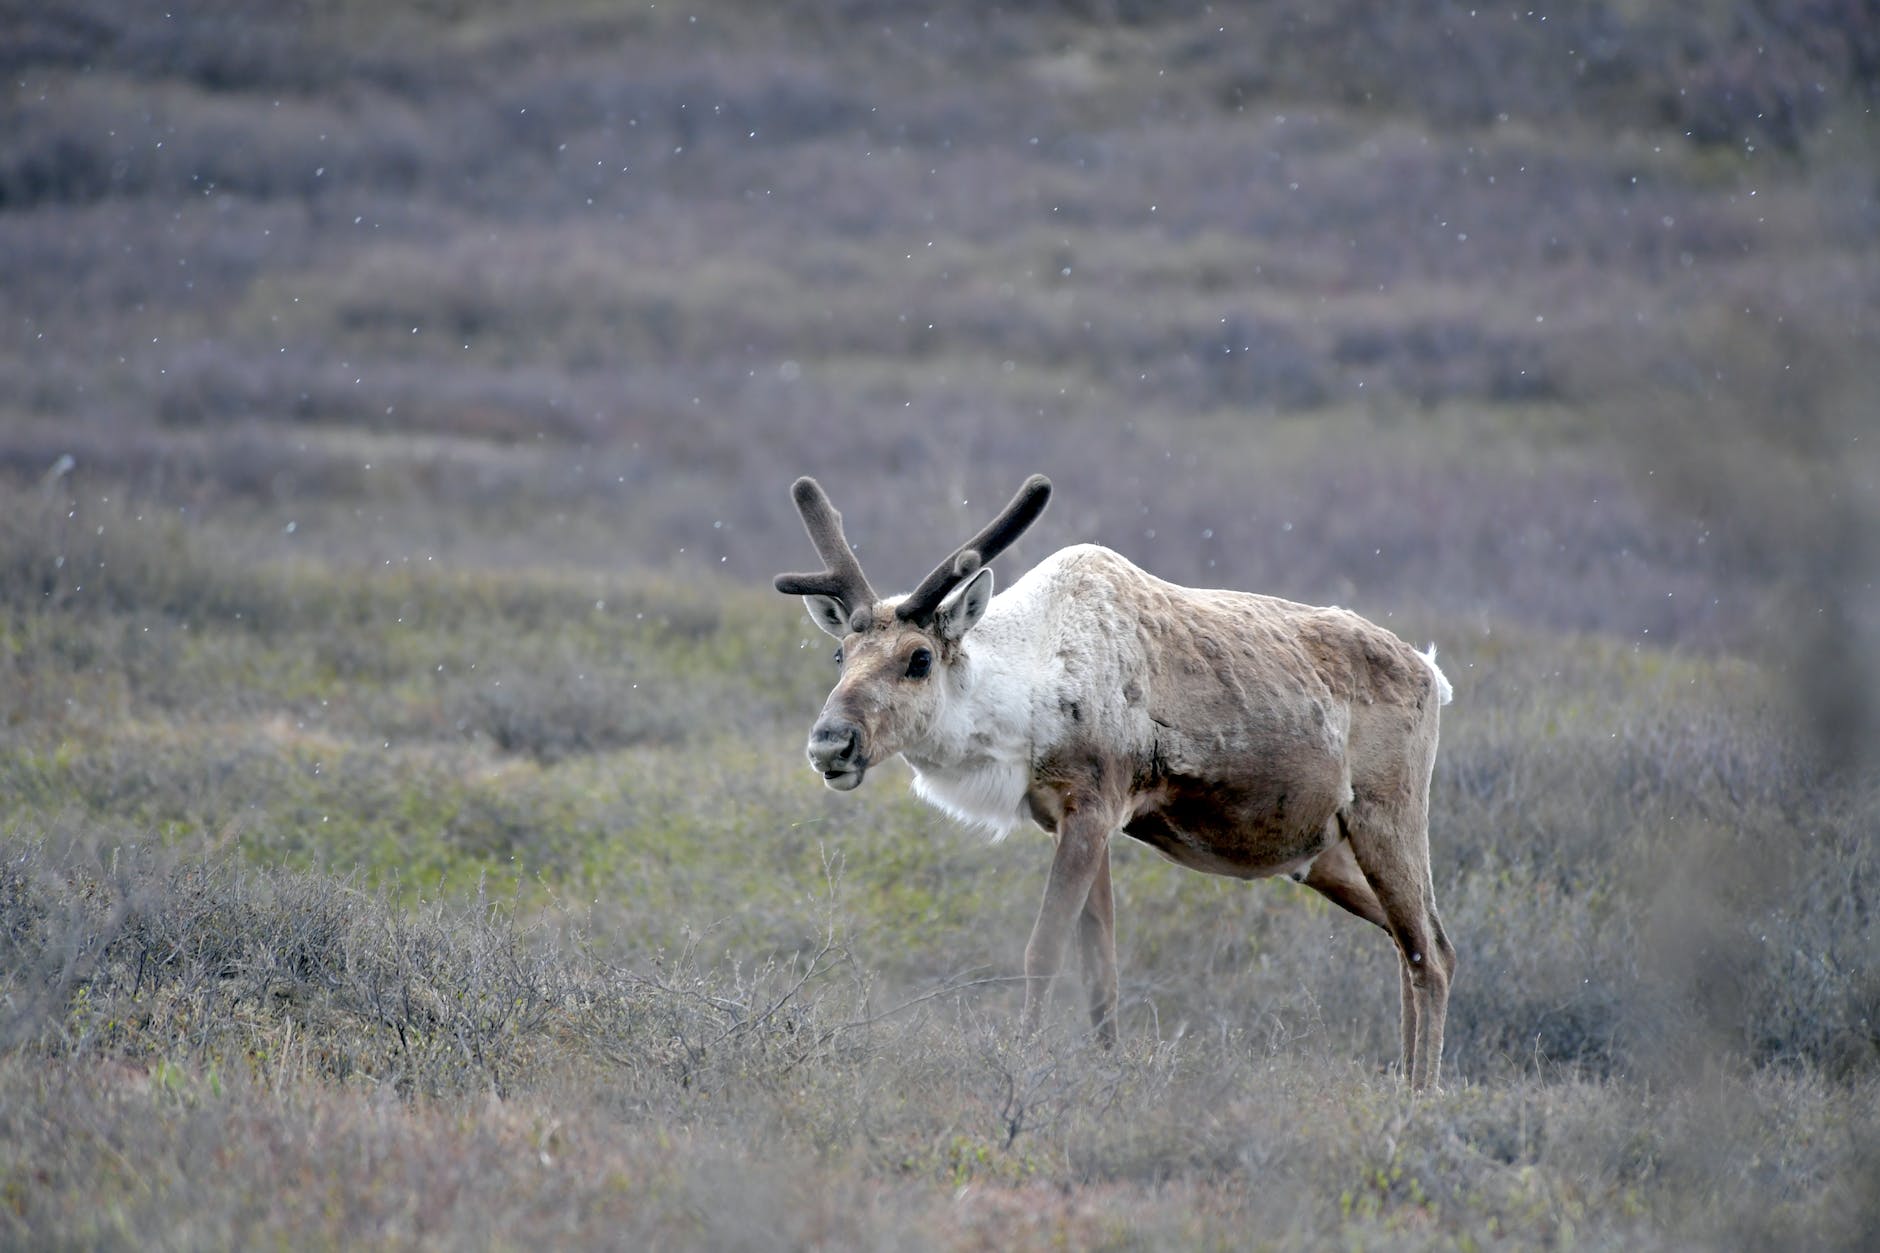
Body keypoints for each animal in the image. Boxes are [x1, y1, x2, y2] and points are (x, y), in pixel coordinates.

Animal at [775, 473, 1458, 1090]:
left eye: (918, 658)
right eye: (841, 655)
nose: (830, 743)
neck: (1026, 693)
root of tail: (1431, 671)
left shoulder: (1094, 806)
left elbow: (1043, 951)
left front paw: (1023, 1067)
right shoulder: (1071, 819)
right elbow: (1099, 967)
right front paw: (1110, 1070)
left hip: (1390, 815)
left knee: (1431, 952)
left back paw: (1421, 1098)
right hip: (1326, 855)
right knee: (1409, 942)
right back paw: (1403, 1082)